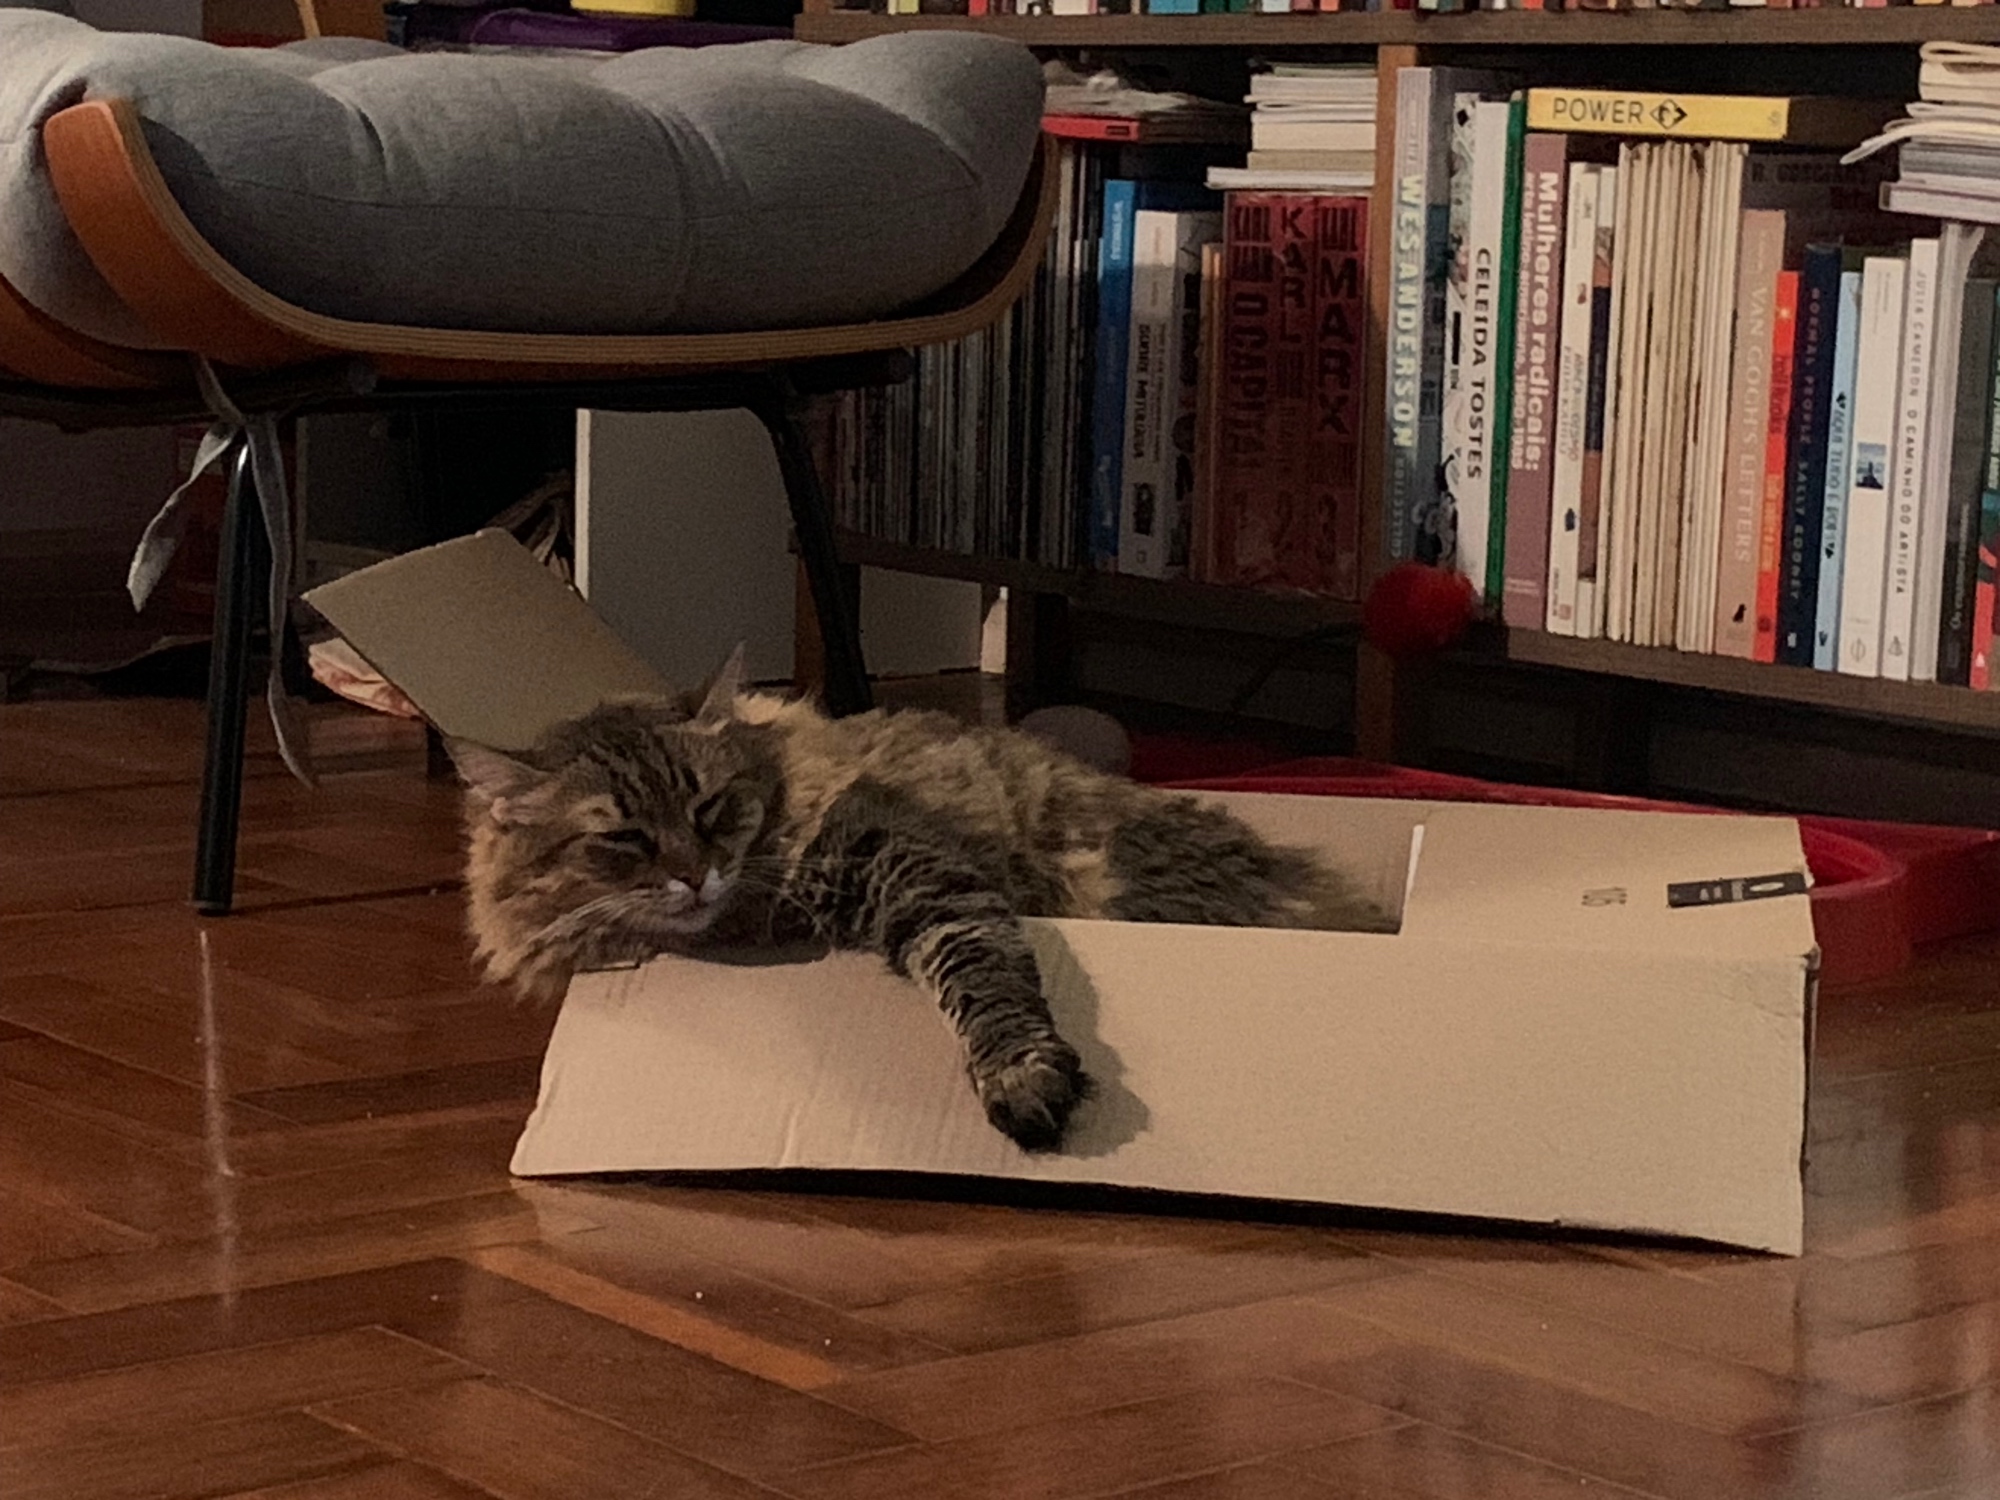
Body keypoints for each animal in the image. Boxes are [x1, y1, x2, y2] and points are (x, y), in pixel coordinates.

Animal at [450, 652, 1388, 1152]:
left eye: (711, 809)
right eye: (624, 840)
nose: (694, 875)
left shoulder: (915, 870)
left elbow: (984, 981)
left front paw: (1023, 1082)